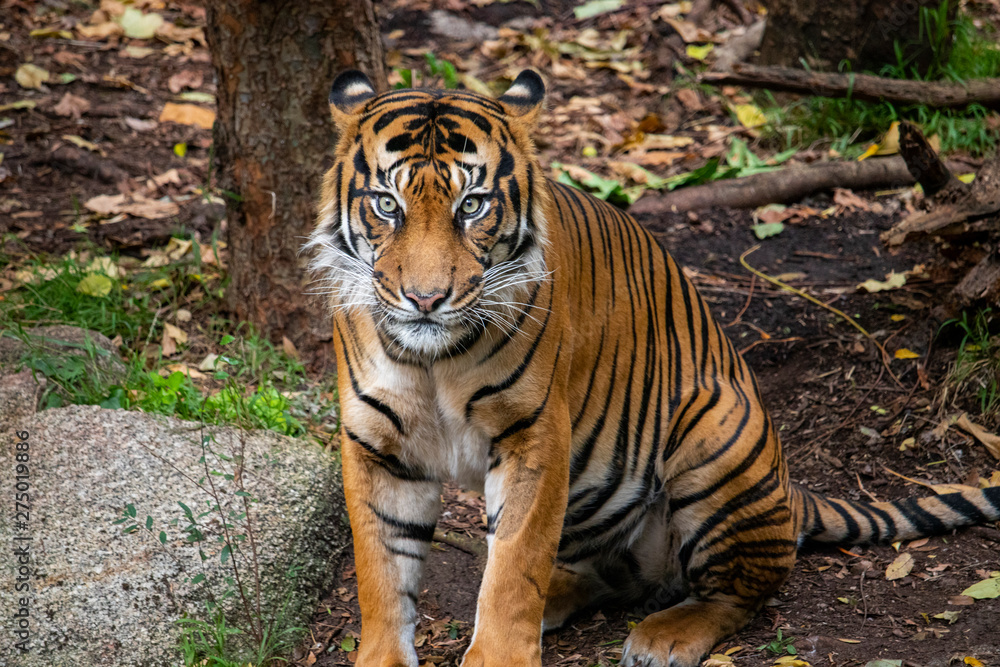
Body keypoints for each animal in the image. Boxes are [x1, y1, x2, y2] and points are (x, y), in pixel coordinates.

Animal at [306, 69, 1000, 667]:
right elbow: (382, 574)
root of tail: (789, 491)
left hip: (712, 436)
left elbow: (514, 568)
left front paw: (499, 654)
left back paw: (663, 638)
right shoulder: (376, 444)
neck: (433, 360)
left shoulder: (534, 435)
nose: (426, 299)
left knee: (741, 588)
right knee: (610, 577)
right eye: (387, 206)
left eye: (472, 205)